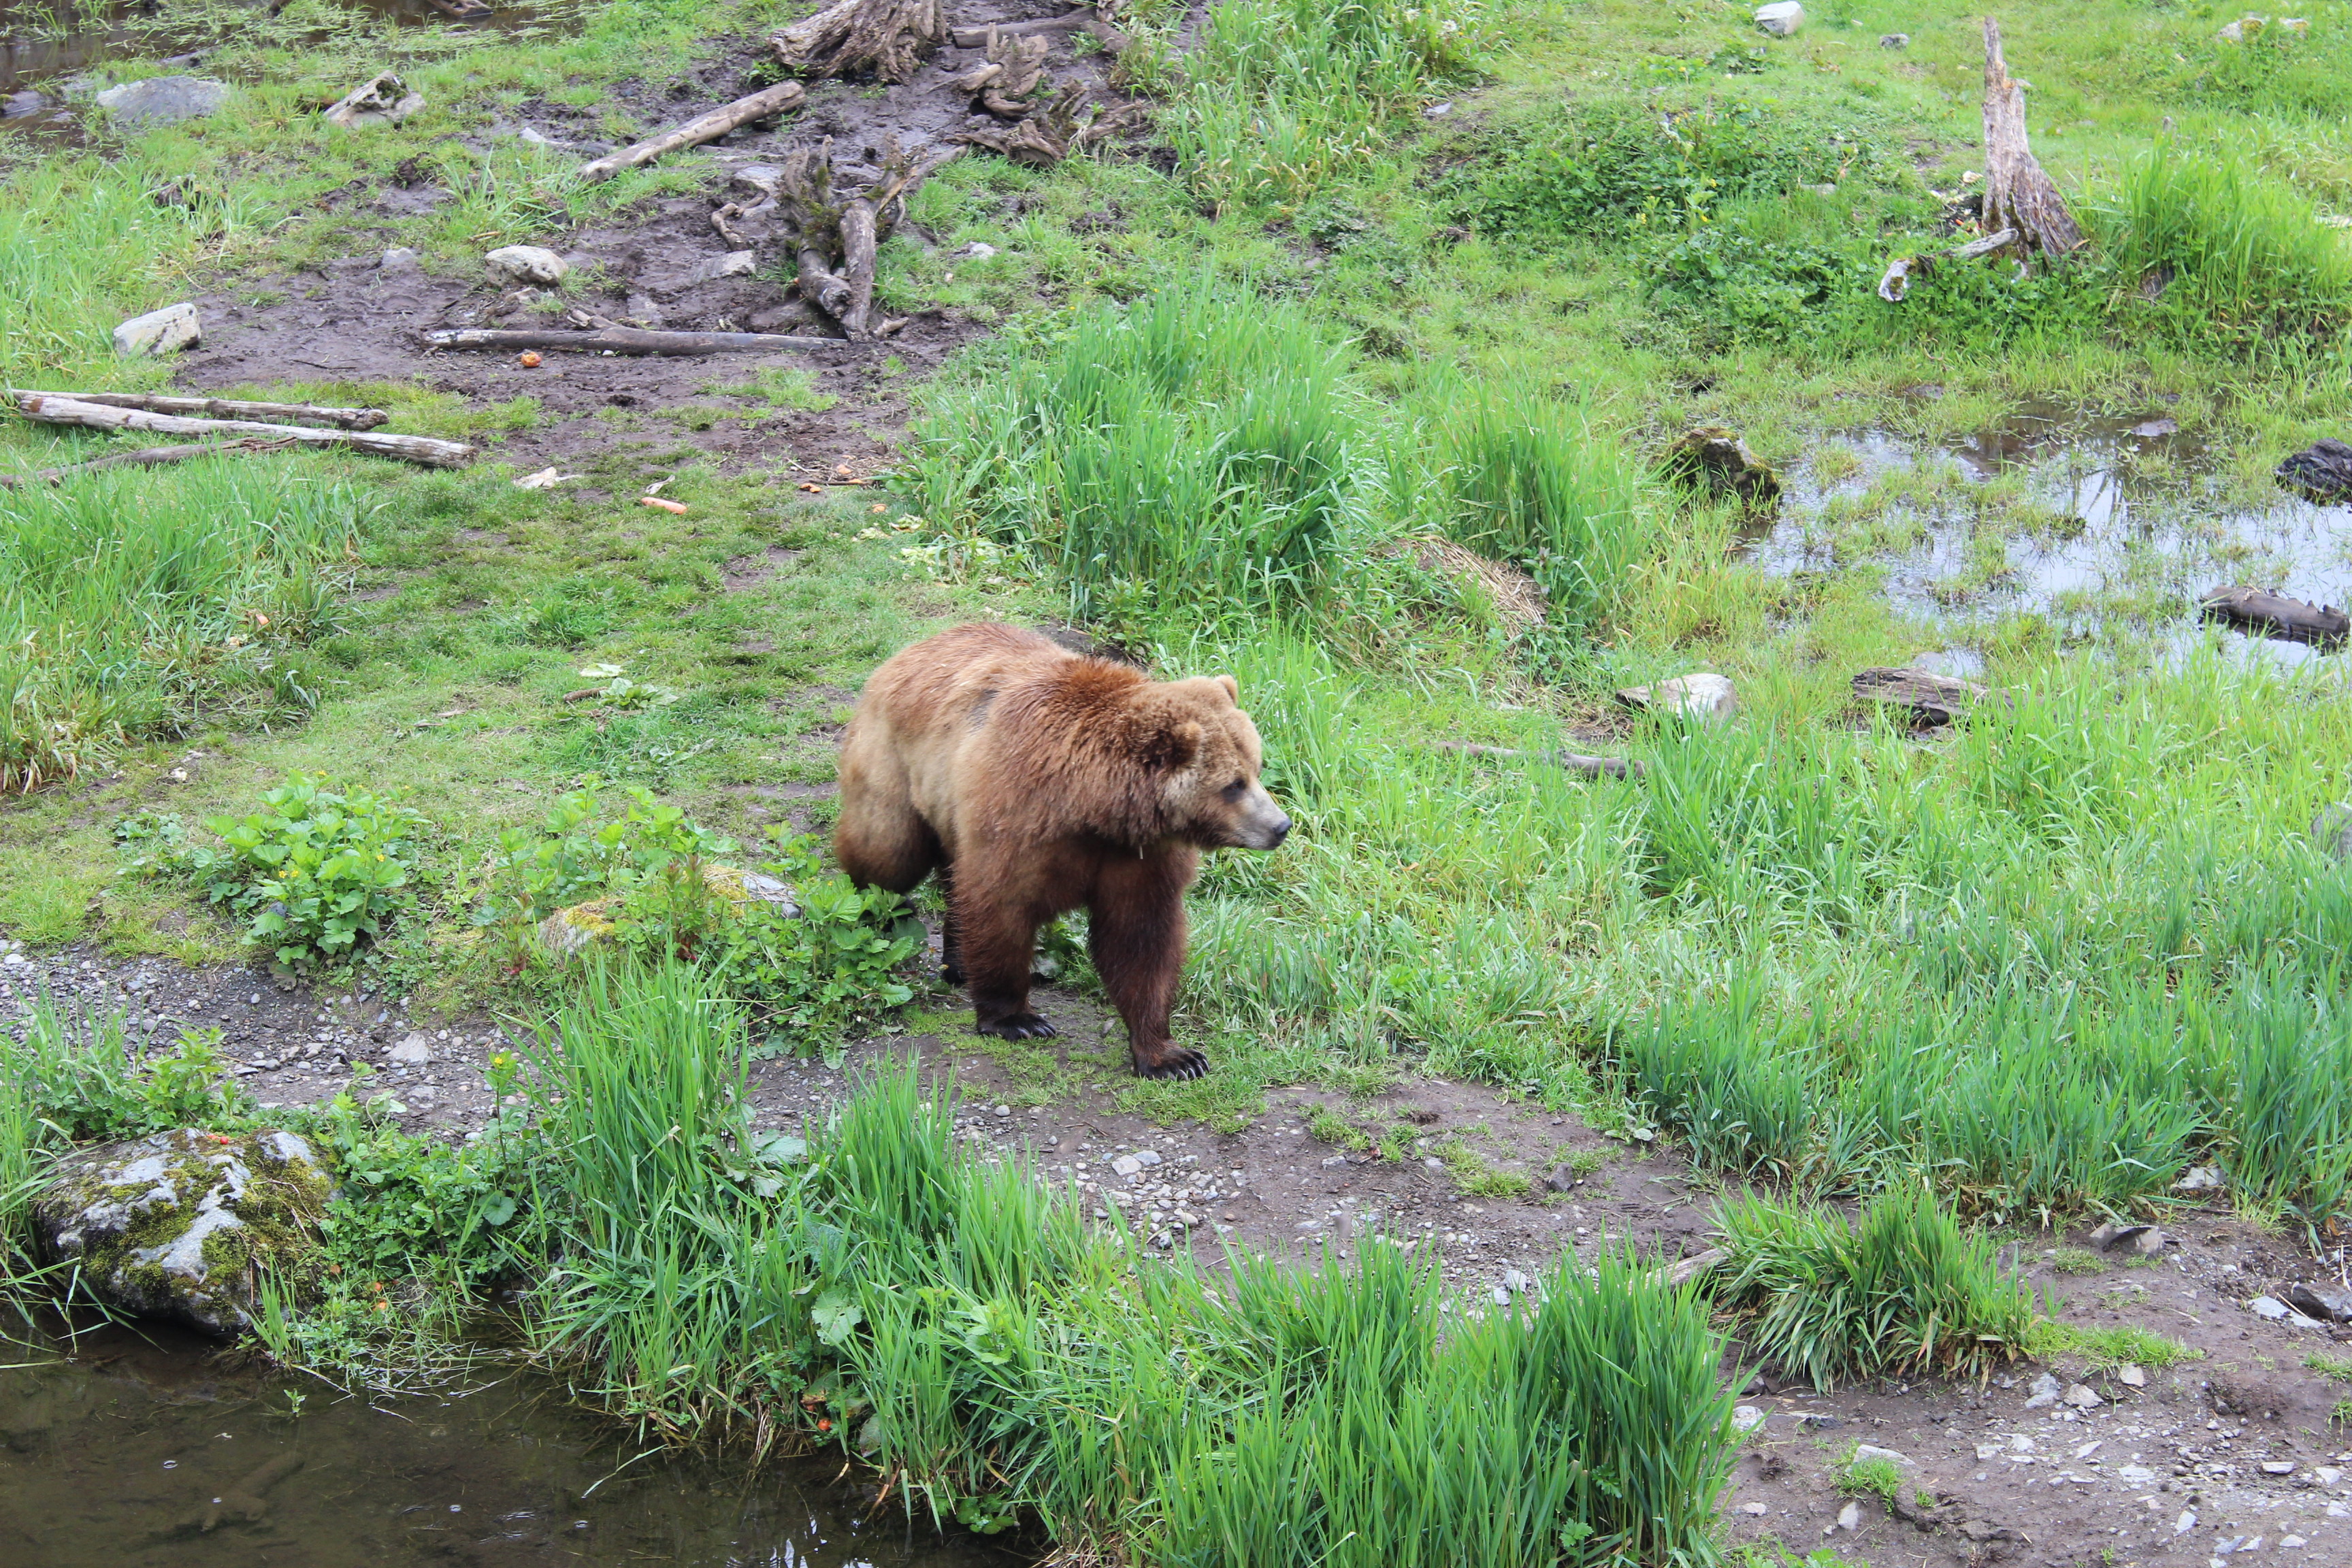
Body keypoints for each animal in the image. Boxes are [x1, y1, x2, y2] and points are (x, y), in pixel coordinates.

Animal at [837, 625, 1298, 1081]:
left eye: (1257, 768)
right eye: (1233, 785)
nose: (1280, 826)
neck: (1093, 805)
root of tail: (915, 647)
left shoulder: (1140, 856)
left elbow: (1142, 941)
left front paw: (1173, 1057)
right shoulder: (1018, 817)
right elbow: (1000, 908)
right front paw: (1017, 1020)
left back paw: (958, 960)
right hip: (899, 763)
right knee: (887, 851)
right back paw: (876, 914)